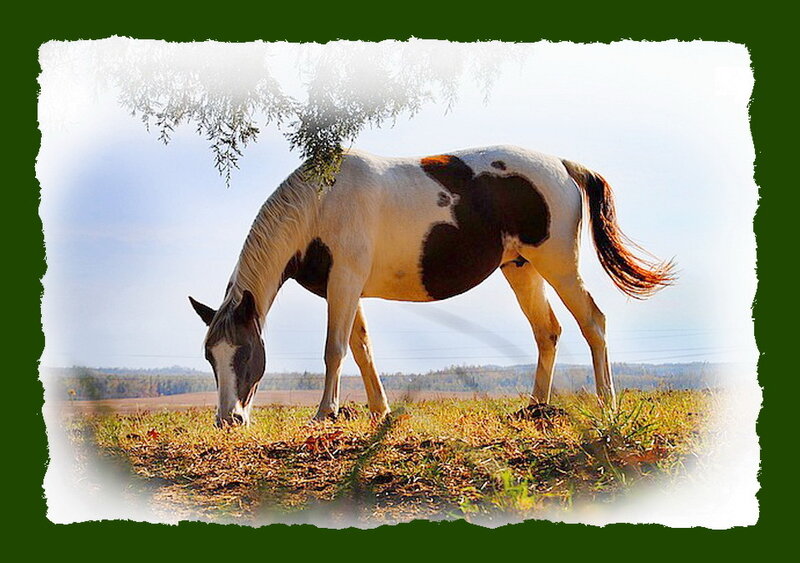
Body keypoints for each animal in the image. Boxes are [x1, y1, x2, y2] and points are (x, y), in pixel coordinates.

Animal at [189, 145, 674, 427]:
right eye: (211, 357)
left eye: (246, 352)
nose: (228, 419)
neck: (321, 203)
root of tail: (564, 165)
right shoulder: (345, 288)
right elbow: (362, 349)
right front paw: (380, 412)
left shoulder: (344, 282)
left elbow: (335, 349)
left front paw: (325, 413)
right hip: (521, 268)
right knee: (548, 331)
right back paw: (535, 408)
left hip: (558, 265)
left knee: (593, 322)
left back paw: (607, 404)